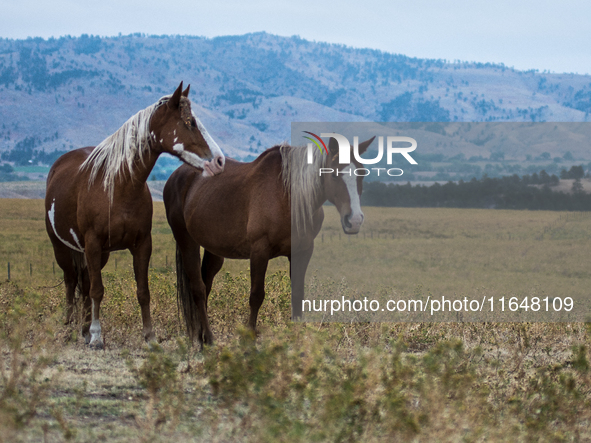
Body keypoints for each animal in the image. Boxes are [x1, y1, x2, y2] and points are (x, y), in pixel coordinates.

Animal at [45, 81, 225, 348]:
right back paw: (70, 328)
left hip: (99, 254)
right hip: (62, 247)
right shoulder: (93, 243)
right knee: (70, 281)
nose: (220, 161)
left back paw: (84, 329)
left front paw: (149, 336)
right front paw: (98, 337)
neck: (119, 186)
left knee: (84, 283)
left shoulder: (141, 245)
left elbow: (142, 291)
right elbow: (98, 290)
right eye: (189, 122)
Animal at [162, 137, 374, 348]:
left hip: (214, 249)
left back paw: (203, 337)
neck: (288, 197)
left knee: (206, 284)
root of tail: (176, 176)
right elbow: (256, 296)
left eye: (362, 173)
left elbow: (298, 294)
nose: (354, 220)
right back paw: (208, 338)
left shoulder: (302, 251)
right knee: (198, 288)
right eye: (335, 175)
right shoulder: (259, 251)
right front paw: (248, 338)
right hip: (186, 241)